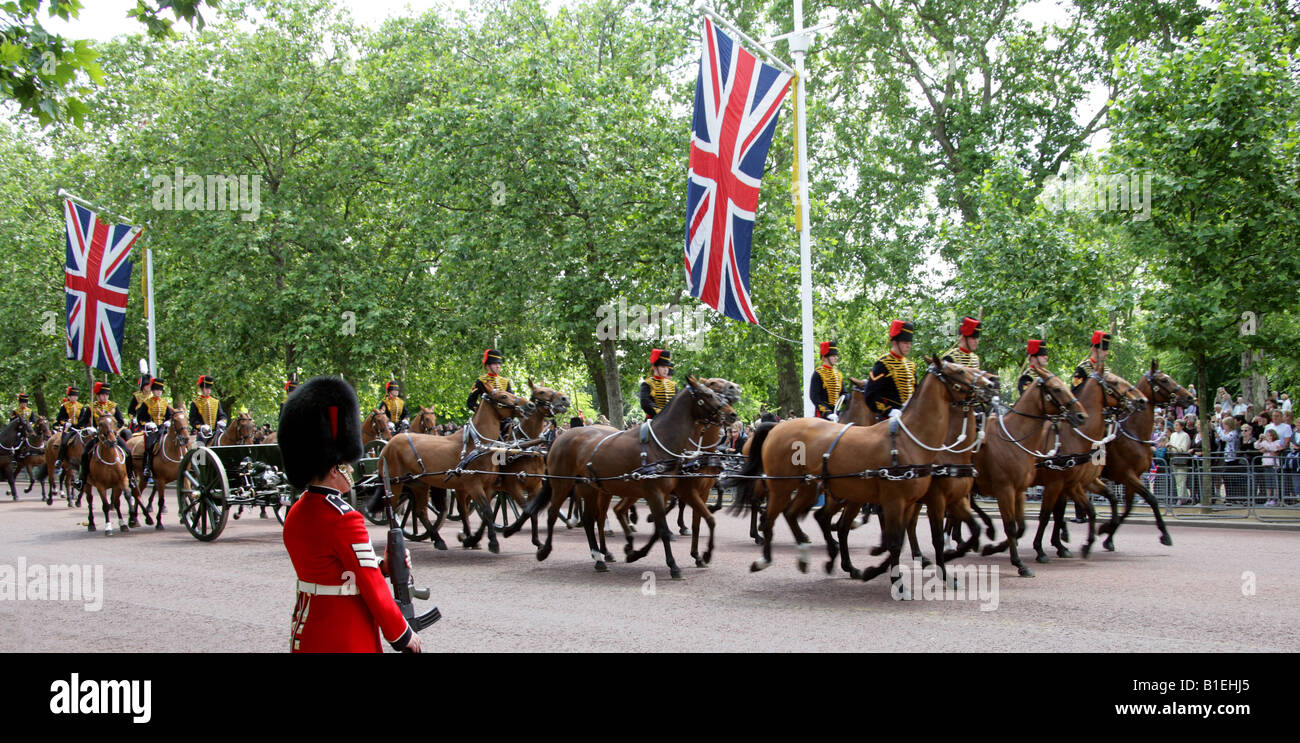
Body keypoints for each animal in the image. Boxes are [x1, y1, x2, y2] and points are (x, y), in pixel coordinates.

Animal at [379, 387, 530, 553]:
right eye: (503, 396)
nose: (529, 405)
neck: (476, 445)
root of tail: (389, 443)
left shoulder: (487, 486)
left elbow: (484, 514)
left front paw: (472, 539)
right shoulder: (473, 485)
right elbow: (487, 511)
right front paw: (492, 542)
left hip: (419, 484)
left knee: (420, 511)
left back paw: (438, 540)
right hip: (394, 483)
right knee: (392, 508)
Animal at [504, 374, 733, 576]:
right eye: (708, 393)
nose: (732, 414)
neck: (661, 443)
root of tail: (560, 438)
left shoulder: (677, 491)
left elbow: (698, 521)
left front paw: (699, 554)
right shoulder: (655, 493)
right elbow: (663, 529)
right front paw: (673, 565)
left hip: (591, 488)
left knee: (591, 519)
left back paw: (600, 557)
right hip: (562, 484)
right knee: (553, 513)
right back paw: (545, 550)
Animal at [733, 355, 993, 594]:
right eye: (959, 370)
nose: (991, 384)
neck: (913, 441)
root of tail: (778, 427)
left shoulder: (920, 501)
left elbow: (915, 535)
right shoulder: (904, 500)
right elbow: (898, 541)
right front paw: (897, 581)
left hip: (814, 489)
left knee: (796, 515)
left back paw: (815, 556)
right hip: (782, 486)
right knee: (770, 515)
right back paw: (764, 557)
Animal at [1029, 371, 1144, 563]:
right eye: (1113, 382)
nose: (1141, 400)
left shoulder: (1076, 483)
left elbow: (1092, 507)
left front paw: (1070, 544)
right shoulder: (1057, 484)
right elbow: (1047, 515)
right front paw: (1041, 548)